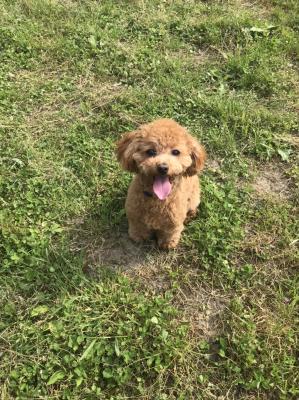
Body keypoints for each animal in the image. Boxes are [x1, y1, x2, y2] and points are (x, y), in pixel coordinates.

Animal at [116, 119, 206, 248]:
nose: (163, 167)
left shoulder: (173, 223)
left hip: (194, 197)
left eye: (176, 152)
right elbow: (138, 228)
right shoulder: (135, 216)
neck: (157, 199)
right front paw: (138, 237)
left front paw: (168, 244)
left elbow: (170, 233)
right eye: (151, 151)